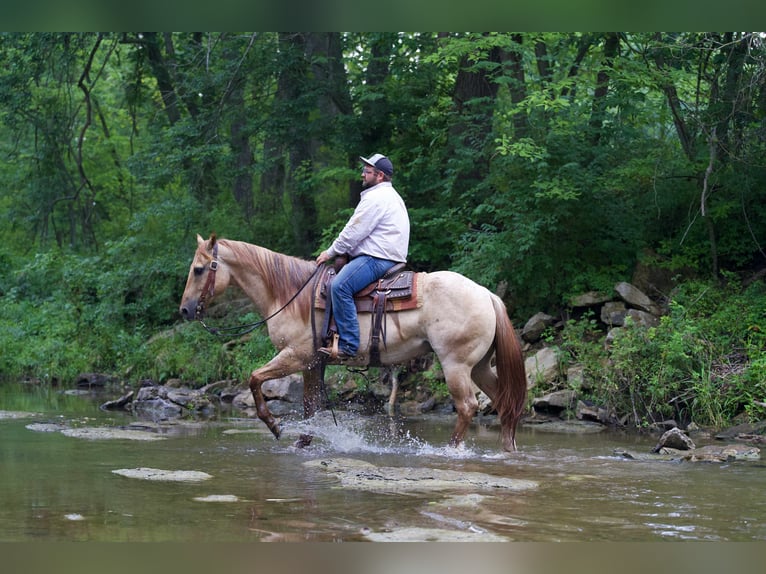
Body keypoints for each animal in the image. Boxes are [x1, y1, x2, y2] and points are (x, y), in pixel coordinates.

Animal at [179, 233, 527, 452]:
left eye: (199, 269)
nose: (184, 309)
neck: (291, 294)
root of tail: (487, 294)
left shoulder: (296, 356)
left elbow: (254, 379)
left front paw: (276, 427)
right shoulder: (313, 364)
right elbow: (311, 406)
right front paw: (302, 442)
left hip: (455, 364)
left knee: (467, 406)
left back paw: (452, 450)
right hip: (479, 366)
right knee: (503, 402)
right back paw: (508, 449)